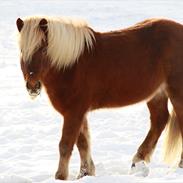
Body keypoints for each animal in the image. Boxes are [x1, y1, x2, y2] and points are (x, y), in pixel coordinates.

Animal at [16, 16, 183, 180]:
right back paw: (138, 162)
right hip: (157, 94)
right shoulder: (77, 112)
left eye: (44, 49)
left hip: (176, 93)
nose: (32, 86)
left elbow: (66, 144)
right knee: (159, 121)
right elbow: (83, 143)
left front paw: (61, 176)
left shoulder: (74, 112)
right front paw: (85, 173)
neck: (71, 65)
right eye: (22, 50)